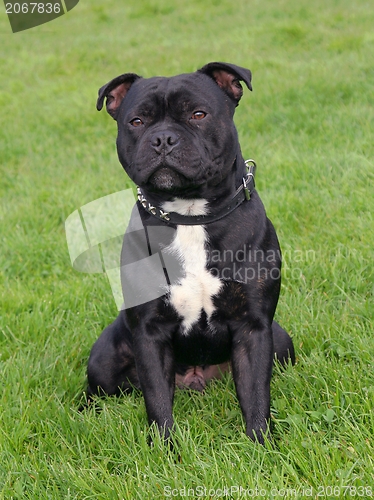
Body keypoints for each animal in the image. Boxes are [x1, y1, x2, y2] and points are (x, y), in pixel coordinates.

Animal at [86, 63, 294, 446]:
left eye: (198, 114)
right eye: (136, 121)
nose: (163, 139)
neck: (190, 215)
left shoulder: (254, 326)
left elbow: (256, 393)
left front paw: (262, 444)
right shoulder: (150, 332)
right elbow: (156, 398)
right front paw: (163, 449)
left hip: (281, 342)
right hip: (104, 357)